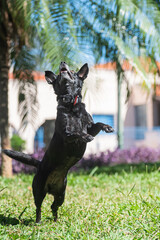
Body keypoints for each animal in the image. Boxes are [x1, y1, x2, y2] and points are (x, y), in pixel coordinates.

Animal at [3, 62, 114, 223]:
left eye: (73, 71)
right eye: (59, 74)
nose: (62, 62)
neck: (71, 104)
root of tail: (39, 164)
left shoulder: (90, 126)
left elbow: (97, 124)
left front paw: (107, 127)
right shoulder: (66, 132)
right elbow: (76, 132)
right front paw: (85, 137)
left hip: (61, 194)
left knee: (53, 206)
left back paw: (56, 220)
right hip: (38, 190)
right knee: (39, 207)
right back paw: (38, 222)